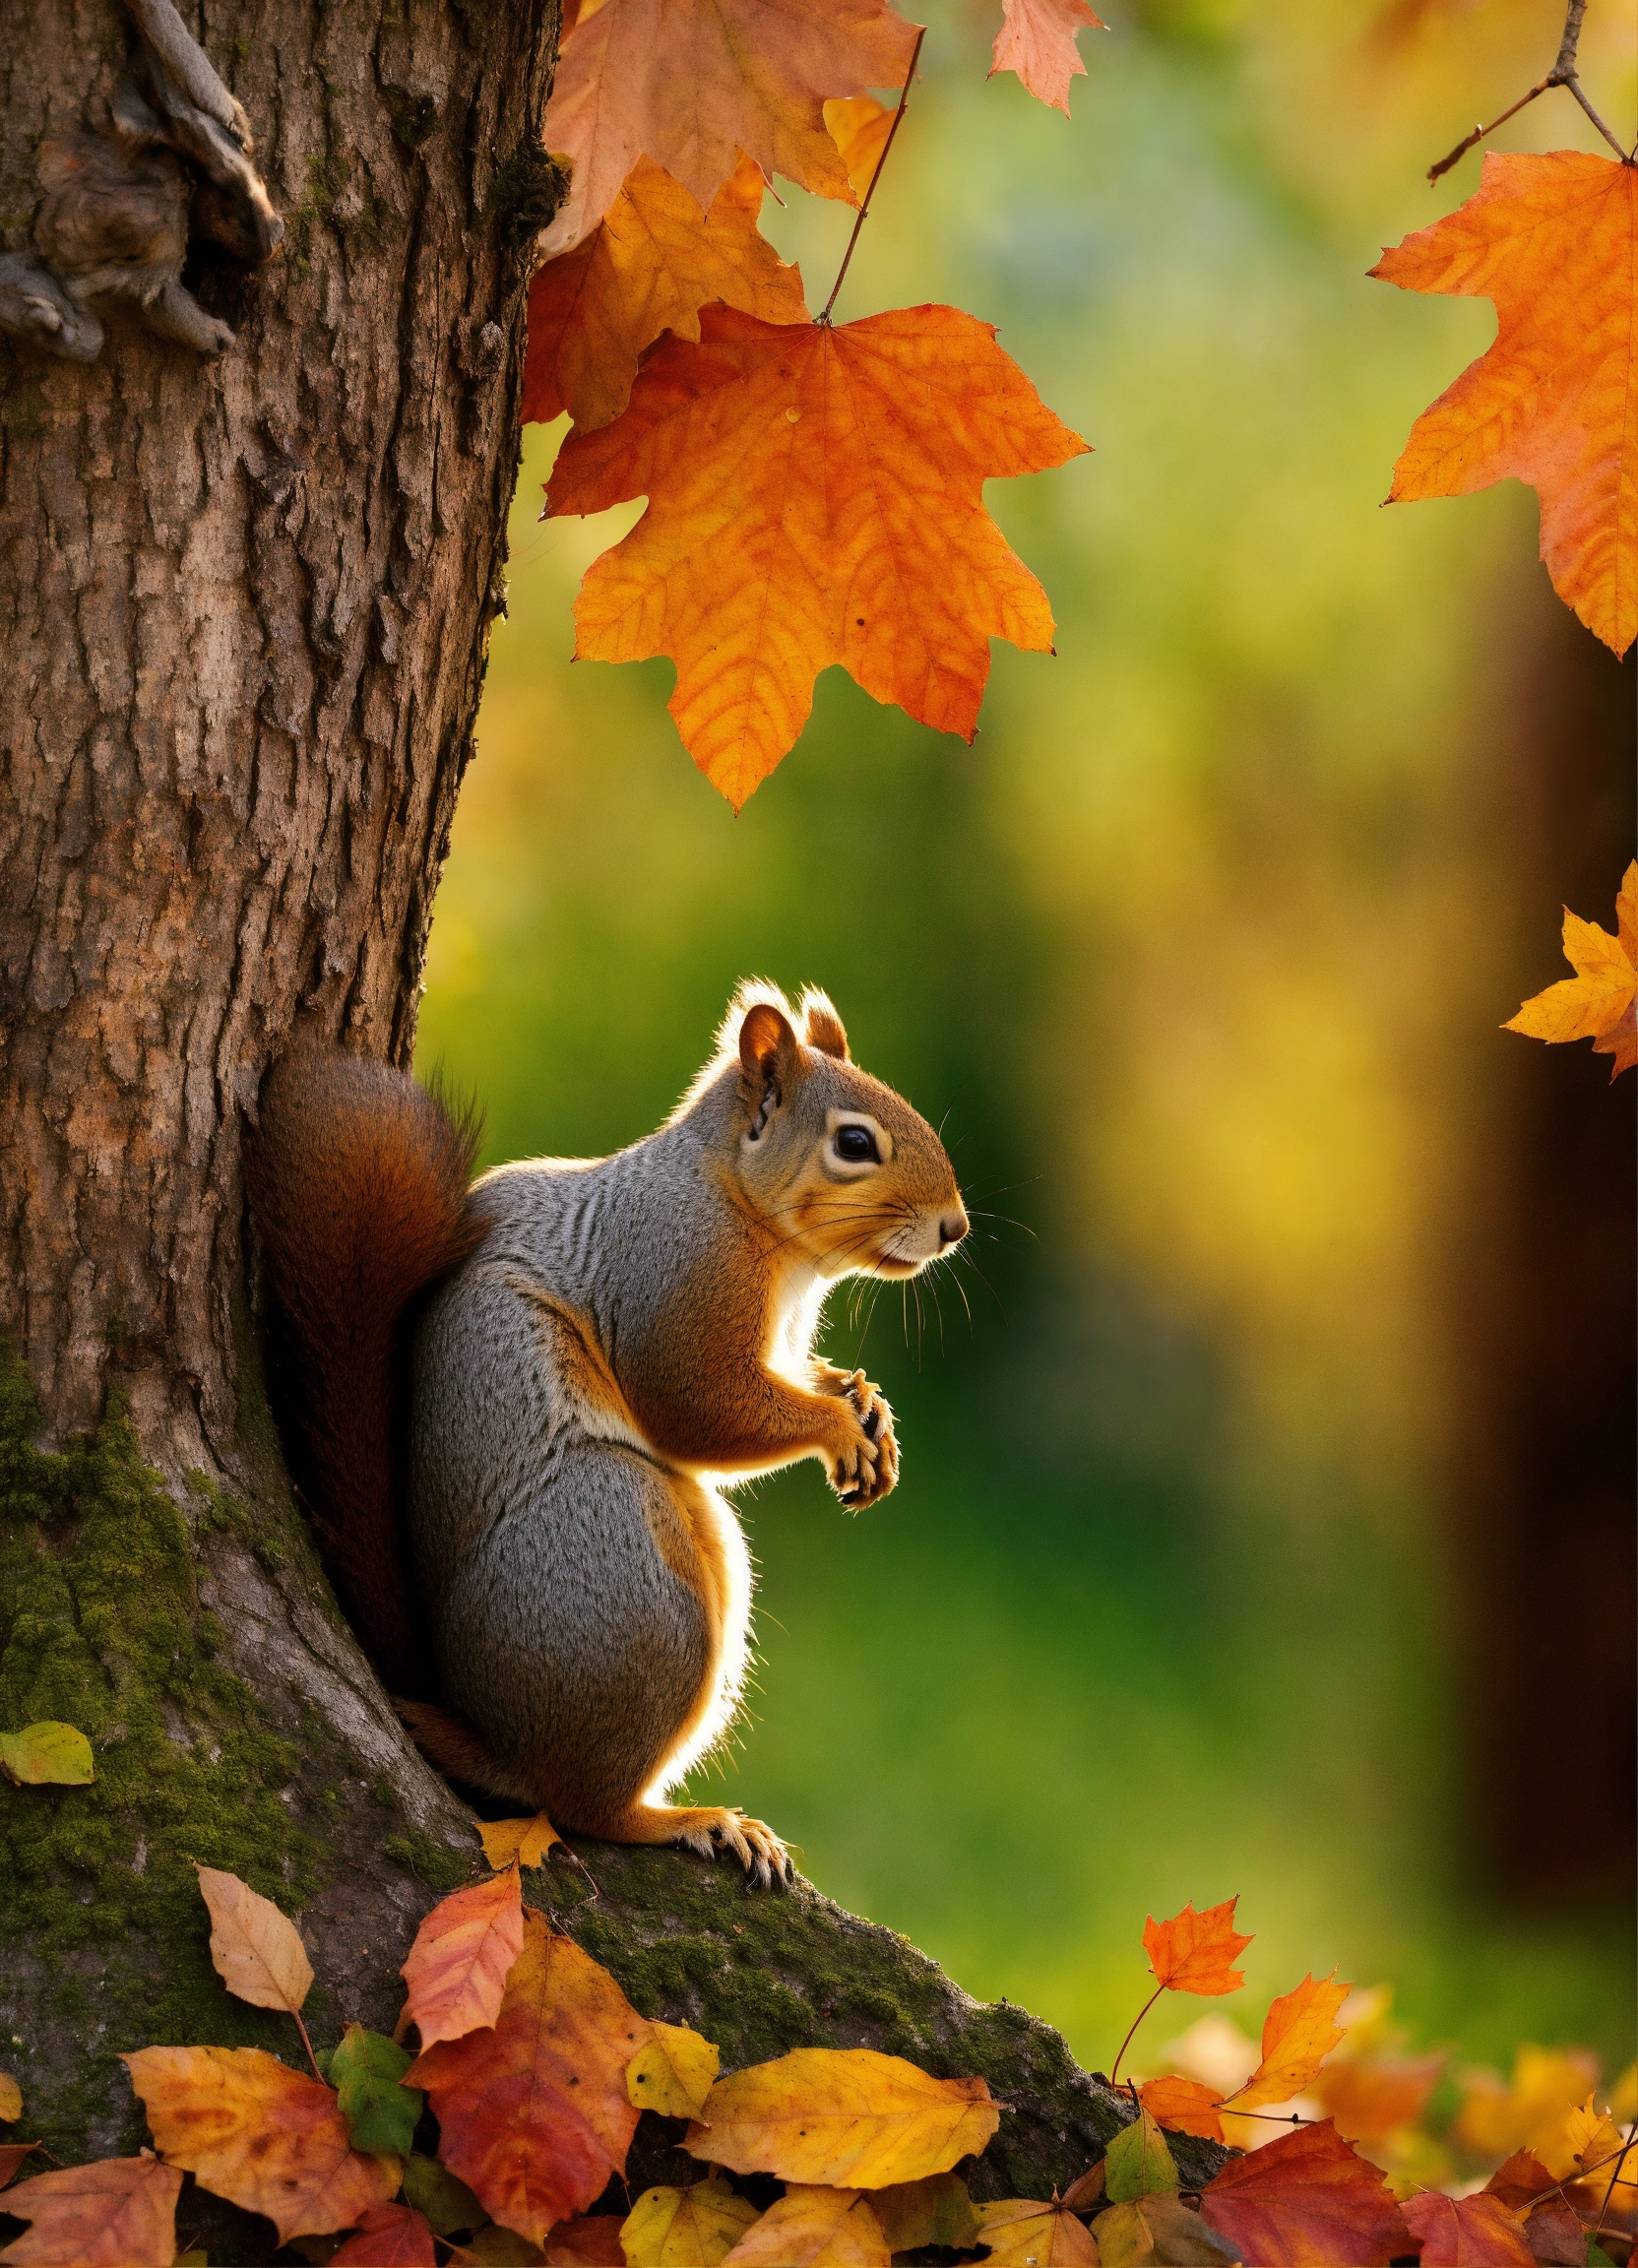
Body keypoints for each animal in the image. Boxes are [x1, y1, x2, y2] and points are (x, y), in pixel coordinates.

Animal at [247, 982, 968, 1886]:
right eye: (855, 1143)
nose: (955, 1226)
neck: (742, 1207)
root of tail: (484, 1726)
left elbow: (791, 1380)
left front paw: (863, 1404)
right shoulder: (672, 1277)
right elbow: (698, 1407)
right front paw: (839, 1426)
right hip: (631, 1582)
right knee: (582, 1806)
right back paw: (690, 1821)